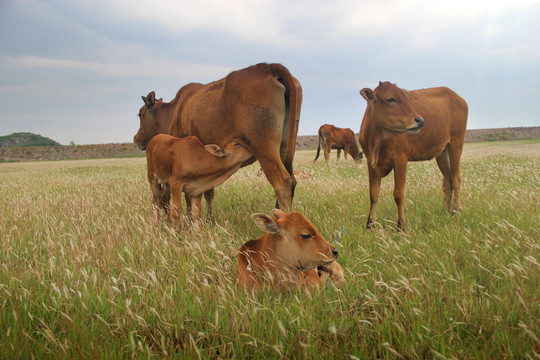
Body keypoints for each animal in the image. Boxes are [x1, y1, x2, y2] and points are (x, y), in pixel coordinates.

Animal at [133, 62, 302, 215]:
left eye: (140, 114)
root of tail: (269, 67)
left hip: (265, 149)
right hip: (286, 146)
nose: (136, 138)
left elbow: (188, 197)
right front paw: (209, 218)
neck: (174, 110)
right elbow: (208, 193)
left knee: (282, 183)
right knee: (292, 180)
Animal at [358, 81, 468, 231]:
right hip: (442, 151)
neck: (377, 141)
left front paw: (401, 225)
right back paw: (445, 211)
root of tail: (458, 97)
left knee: (456, 178)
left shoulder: (400, 159)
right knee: (448, 179)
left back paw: (456, 211)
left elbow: (398, 193)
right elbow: (373, 194)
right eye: (390, 99)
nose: (420, 120)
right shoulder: (371, 162)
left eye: (405, 97)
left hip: (456, 143)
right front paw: (370, 225)